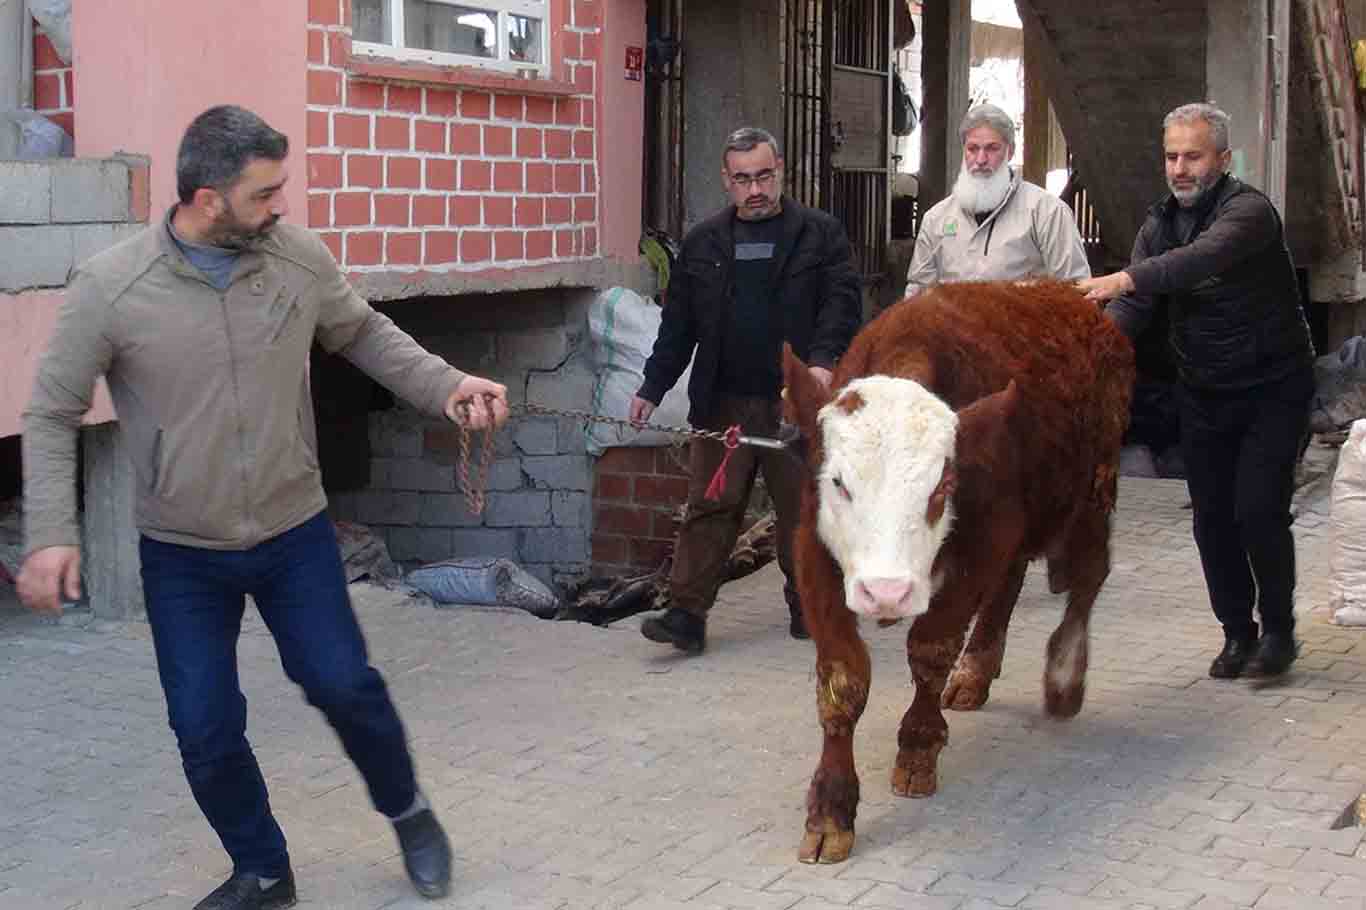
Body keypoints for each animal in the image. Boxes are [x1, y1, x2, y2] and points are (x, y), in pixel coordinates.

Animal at [786, 280, 1136, 863]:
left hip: (1092, 490)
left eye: (941, 488)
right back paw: (975, 673)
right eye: (837, 482)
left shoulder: (983, 537)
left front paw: (918, 750)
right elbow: (843, 679)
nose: (887, 592)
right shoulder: (814, 550)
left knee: (1088, 578)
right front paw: (830, 812)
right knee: (1011, 585)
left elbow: (931, 648)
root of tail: (1070, 296)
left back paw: (1064, 677)